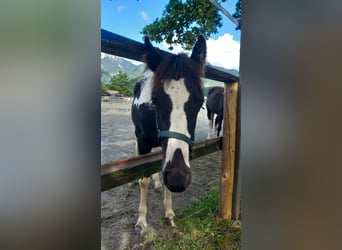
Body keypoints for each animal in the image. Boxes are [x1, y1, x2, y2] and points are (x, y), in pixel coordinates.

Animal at [131, 35, 206, 234]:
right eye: (155, 101)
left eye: (200, 103)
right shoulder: (143, 141)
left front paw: (169, 212)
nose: (178, 179)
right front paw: (141, 221)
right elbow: (143, 181)